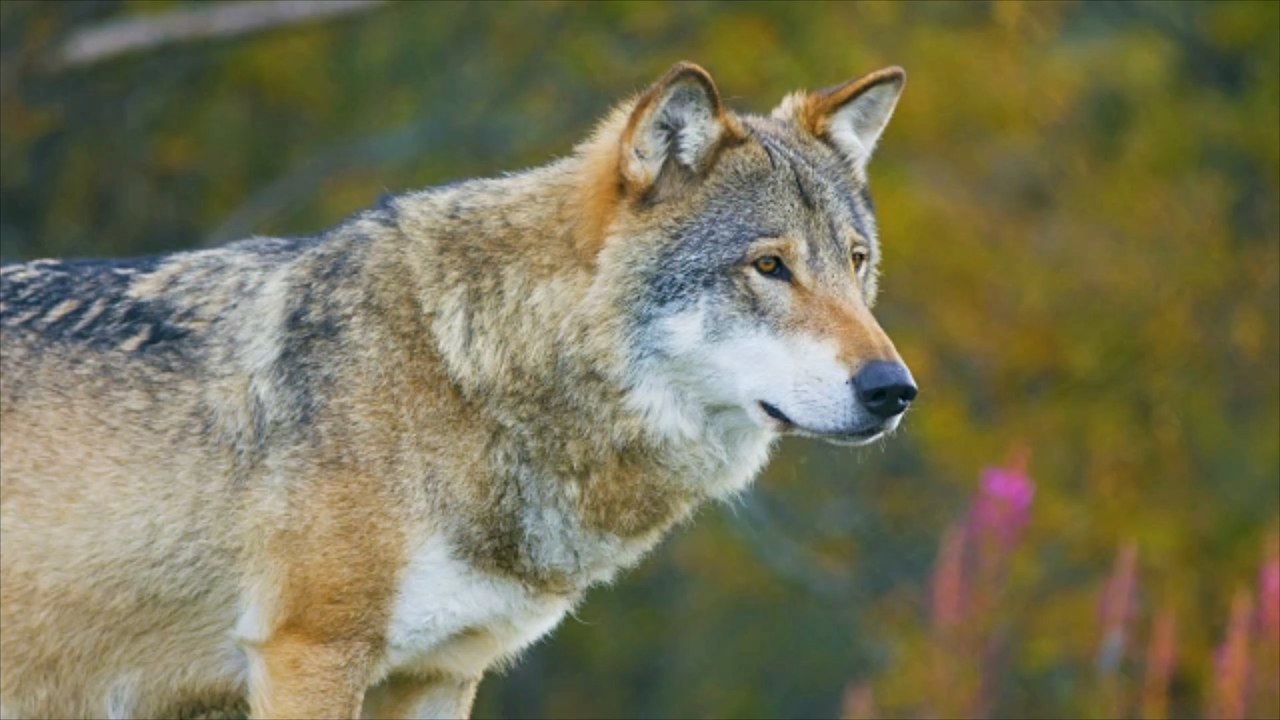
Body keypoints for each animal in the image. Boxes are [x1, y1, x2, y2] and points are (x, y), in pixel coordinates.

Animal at [0, 62, 916, 719]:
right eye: (770, 265)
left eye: (856, 262)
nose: (895, 389)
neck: (464, 375)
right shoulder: (310, 653)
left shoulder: (442, 673)